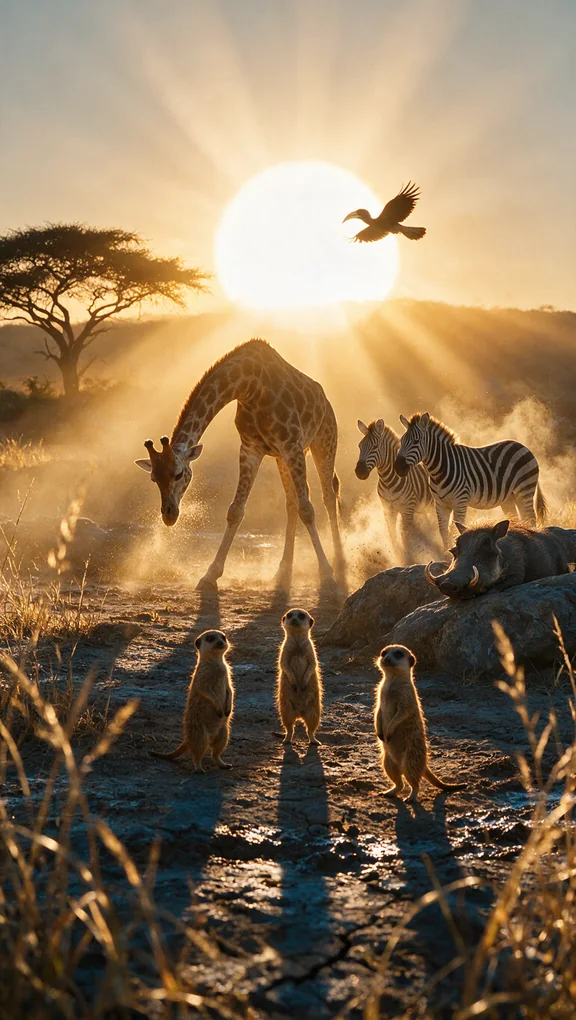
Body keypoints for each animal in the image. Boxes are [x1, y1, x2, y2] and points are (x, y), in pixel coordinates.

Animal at [135, 339, 346, 590]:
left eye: (178, 474)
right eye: (153, 478)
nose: (169, 515)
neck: (249, 387)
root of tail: (326, 400)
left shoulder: (292, 445)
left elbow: (308, 509)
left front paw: (326, 574)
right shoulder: (250, 449)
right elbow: (235, 510)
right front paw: (209, 575)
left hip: (323, 440)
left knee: (328, 495)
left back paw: (340, 561)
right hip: (283, 458)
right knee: (291, 502)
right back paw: (284, 571)